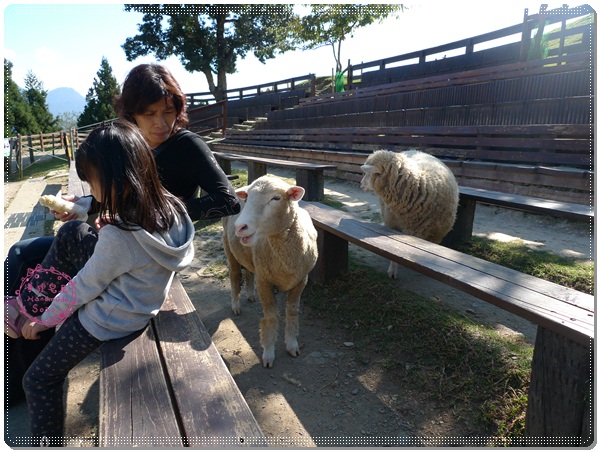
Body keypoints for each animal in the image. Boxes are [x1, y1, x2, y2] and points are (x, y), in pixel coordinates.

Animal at [223, 175, 318, 366]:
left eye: (276, 198)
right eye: (248, 198)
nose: (240, 227)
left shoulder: (300, 280)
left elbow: (292, 311)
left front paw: (292, 344)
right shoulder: (264, 281)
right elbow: (271, 317)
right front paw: (268, 353)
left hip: (249, 255)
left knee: (248, 271)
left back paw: (250, 294)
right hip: (229, 248)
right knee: (235, 276)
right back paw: (236, 305)